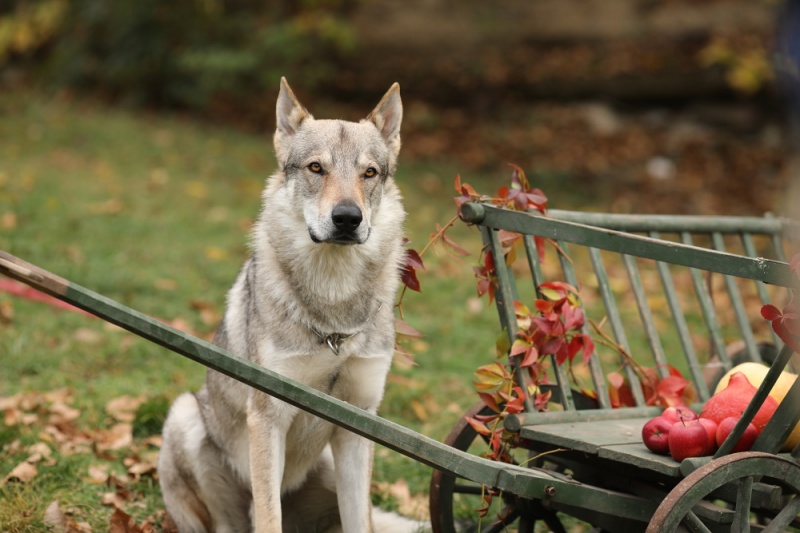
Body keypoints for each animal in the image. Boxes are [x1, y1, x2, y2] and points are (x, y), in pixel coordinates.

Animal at [156, 80, 418, 532]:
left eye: (369, 173)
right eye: (315, 168)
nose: (347, 218)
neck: (333, 319)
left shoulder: (358, 425)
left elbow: (359, 522)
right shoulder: (268, 416)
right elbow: (267, 517)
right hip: (185, 417)